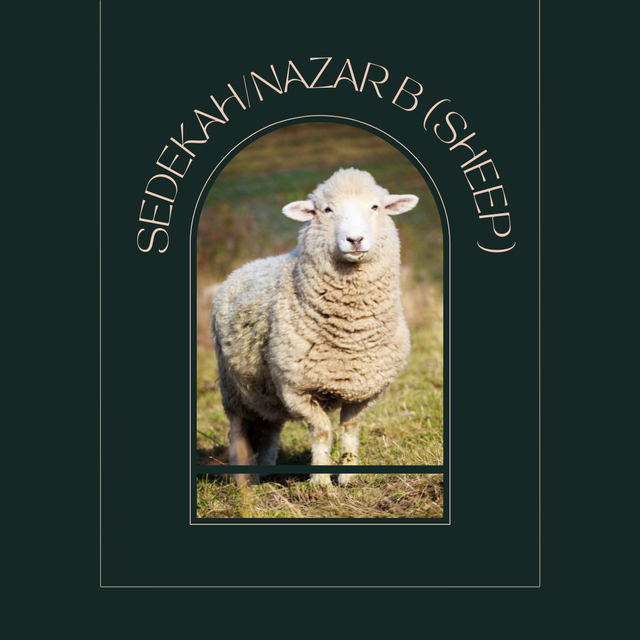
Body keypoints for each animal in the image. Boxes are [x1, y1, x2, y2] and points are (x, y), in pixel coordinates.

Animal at [210, 168, 419, 486]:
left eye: (376, 207)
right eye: (327, 210)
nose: (355, 240)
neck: (350, 335)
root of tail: (242, 267)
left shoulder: (365, 389)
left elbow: (349, 429)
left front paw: (348, 478)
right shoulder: (296, 388)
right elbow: (321, 431)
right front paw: (321, 483)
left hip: (267, 395)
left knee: (271, 429)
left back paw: (266, 471)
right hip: (232, 388)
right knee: (238, 431)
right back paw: (244, 481)